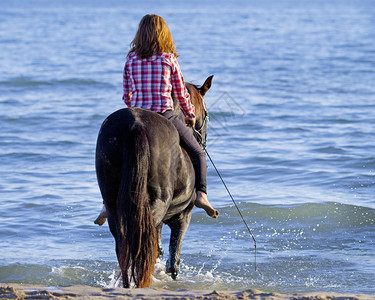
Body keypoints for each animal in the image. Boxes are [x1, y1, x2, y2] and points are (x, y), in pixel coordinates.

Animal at [96, 76, 214, 288]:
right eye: (206, 114)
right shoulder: (183, 216)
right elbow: (173, 261)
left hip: (113, 203)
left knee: (124, 243)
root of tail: (136, 126)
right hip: (155, 206)